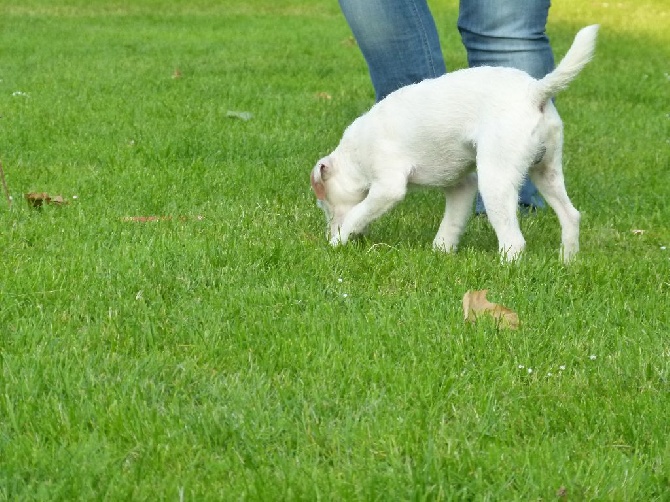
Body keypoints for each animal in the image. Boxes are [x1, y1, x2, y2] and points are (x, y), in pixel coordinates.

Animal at [312, 24, 600, 262]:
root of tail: (534, 92)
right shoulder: (462, 186)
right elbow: (451, 224)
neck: (354, 155)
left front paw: (337, 241)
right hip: (546, 171)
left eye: (324, 204)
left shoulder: (388, 187)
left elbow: (357, 213)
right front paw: (441, 252)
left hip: (495, 179)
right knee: (571, 216)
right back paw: (567, 262)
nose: (327, 235)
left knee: (514, 241)